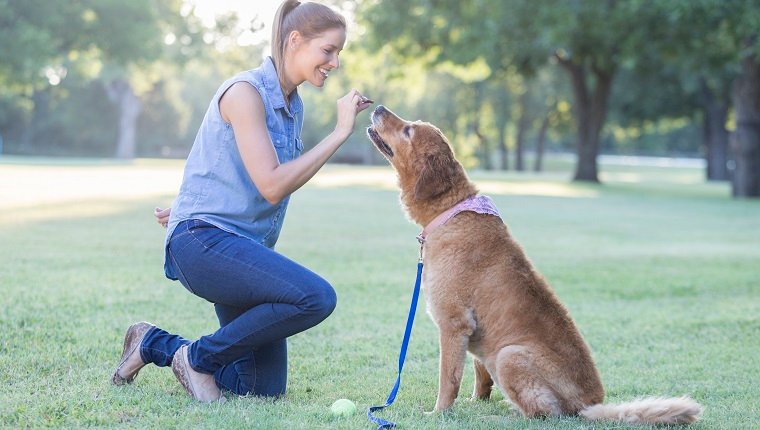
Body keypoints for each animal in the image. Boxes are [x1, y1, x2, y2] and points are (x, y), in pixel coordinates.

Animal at [366, 106, 704, 424]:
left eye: (408, 130)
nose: (378, 107)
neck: (451, 209)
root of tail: (590, 405)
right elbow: (479, 375)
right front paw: (476, 402)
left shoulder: (454, 324)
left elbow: (448, 381)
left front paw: (439, 414)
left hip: (509, 356)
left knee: (540, 413)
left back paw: (499, 417)